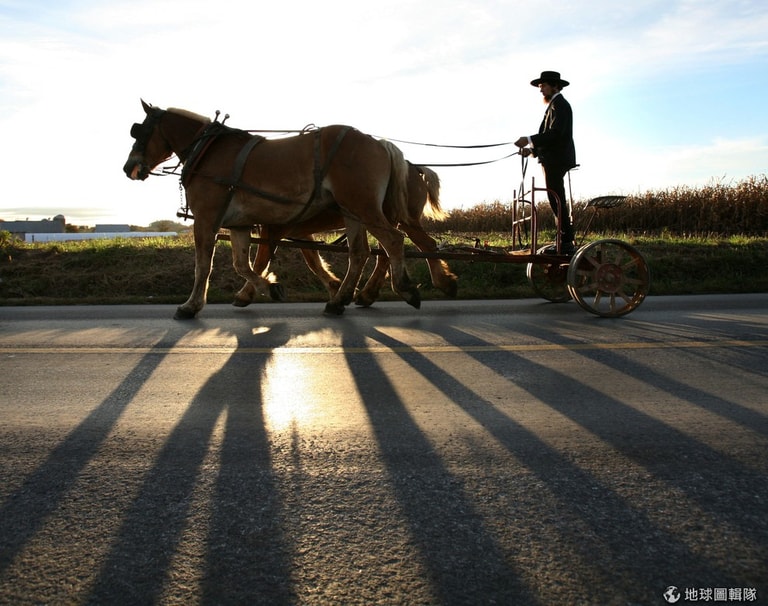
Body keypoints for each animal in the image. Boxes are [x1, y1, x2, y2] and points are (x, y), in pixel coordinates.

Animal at [123, 101, 416, 318]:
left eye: (139, 131)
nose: (129, 168)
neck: (207, 151)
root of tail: (378, 143)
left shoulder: (206, 219)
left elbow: (203, 265)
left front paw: (190, 306)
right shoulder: (239, 224)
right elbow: (242, 264)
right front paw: (270, 288)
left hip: (362, 206)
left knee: (393, 240)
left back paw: (404, 289)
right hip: (351, 211)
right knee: (359, 253)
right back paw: (338, 300)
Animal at [228, 157, 456, 308]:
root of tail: (413, 167)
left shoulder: (275, 228)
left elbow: (259, 262)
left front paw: (246, 294)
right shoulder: (299, 232)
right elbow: (313, 260)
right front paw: (334, 285)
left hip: (395, 219)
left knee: (412, 246)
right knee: (393, 251)